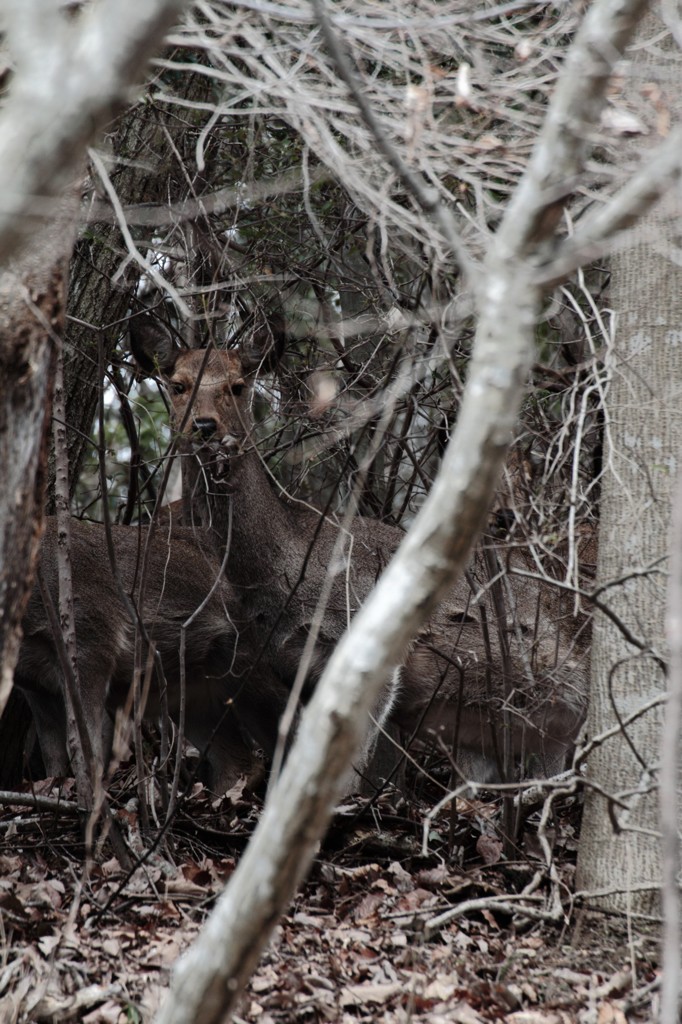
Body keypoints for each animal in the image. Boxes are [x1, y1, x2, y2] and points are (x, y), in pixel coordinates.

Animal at [130, 315, 585, 786]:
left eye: (238, 385)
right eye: (177, 384)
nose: (204, 426)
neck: (280, 569)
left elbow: (352, 773)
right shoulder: (284, 663)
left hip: (563, 687)